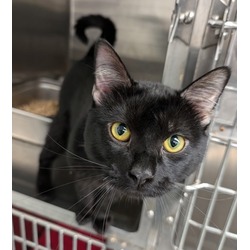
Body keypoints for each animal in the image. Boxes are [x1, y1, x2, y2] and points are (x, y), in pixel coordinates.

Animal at [36, 14, 230, 233]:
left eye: (174, 142)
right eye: (120, 131)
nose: (141, 174)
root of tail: (88, 57)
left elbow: (106, 198)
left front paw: (100, 218)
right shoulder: (80, 166)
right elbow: (85, 190)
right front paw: (85, 213)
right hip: (62, 125)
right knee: (45, 155)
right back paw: (44, 189)